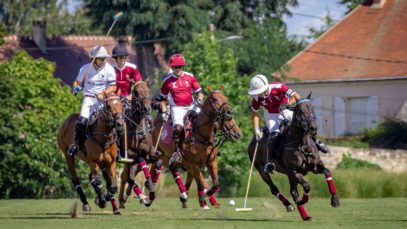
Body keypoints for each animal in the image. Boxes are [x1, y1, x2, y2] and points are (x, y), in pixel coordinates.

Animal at [116, 80, 158, 208]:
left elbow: (157, 160)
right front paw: (150, 187)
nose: (147, 108)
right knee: (126, 176)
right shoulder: (129, 154)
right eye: (136, 92)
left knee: (127, 176)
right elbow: (141, 160)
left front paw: (149, 191)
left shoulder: (150, 151)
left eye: (149, 90)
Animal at [249, 92, 342, 220]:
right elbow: (307, 186)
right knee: (274, 188)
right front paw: (303, 200)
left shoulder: (315, 167)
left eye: (312, 108)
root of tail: (253, 140)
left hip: (288, 174)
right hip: (261, 169)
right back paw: (291, 205)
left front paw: (335, 200)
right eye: (301, 111)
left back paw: (305, 216)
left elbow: (327, 172)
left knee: (293, 191)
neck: (301, 144)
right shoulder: (294, 172)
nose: (313, 128)